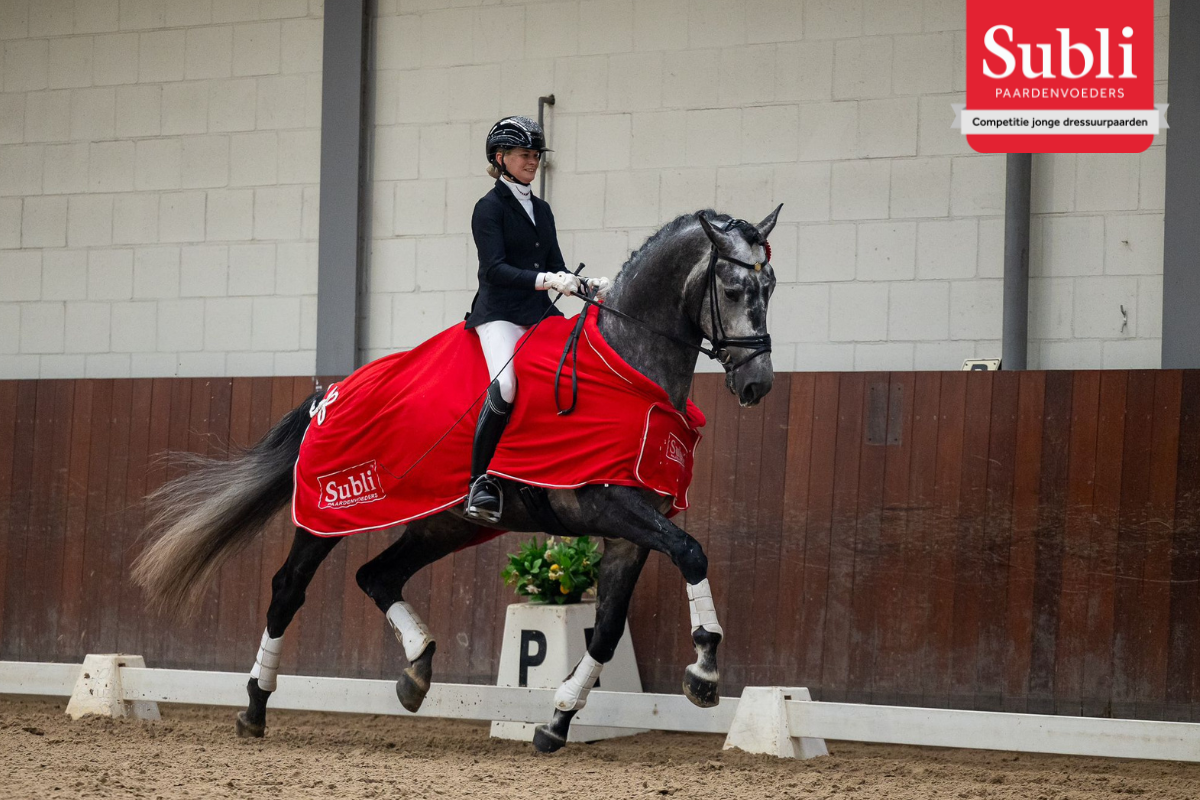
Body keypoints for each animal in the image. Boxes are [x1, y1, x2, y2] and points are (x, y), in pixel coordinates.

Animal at [131, 203, 782, 753]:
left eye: (771, 286)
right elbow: (692, 553)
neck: (627, 369)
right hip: (327, 513)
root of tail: (328, 392)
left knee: (377, 575)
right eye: (733, 288)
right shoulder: (611, 505)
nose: (758, 385)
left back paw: (417, 670)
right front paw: (704, 670)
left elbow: (606, 628)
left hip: (444, 523)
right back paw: (254, 707)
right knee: (289, 587)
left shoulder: (632, 530)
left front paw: (556, 721)